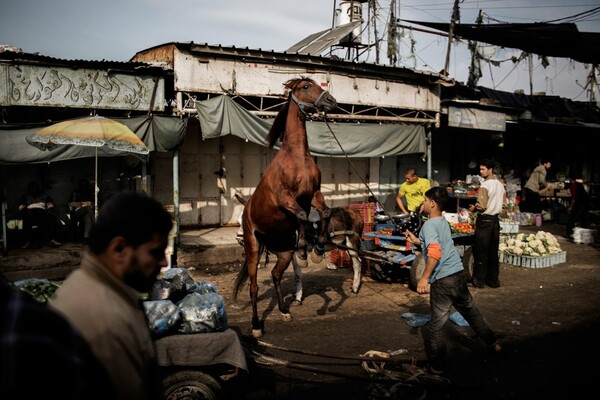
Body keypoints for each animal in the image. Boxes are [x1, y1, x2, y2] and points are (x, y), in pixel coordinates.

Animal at [233, 76, 338, 338]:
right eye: (305, 86)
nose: (331, 101)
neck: (296, 157)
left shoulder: (314, 193)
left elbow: (324, 212)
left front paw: (318, 248)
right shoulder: (285, 198)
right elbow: (301, 215)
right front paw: (304, 247)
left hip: (282, 253)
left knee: (275, 275)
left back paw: (283, 310)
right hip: (252, 249)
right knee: (253, 287)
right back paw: (256, 326)